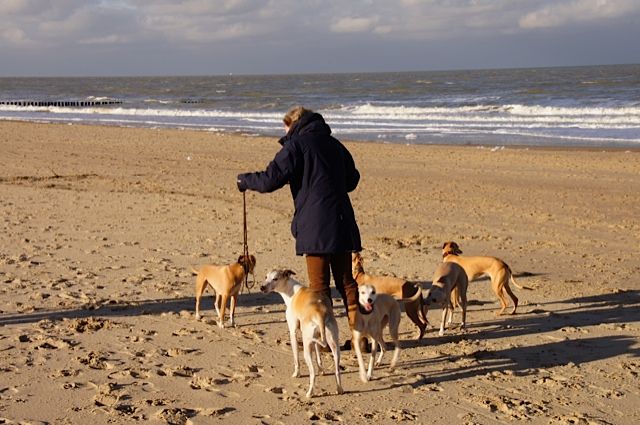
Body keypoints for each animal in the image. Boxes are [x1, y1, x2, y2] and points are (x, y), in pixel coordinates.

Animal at [258, 268, 342, 398]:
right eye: (266, 277)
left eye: (275, 278)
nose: (262, 287)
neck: (292, 291)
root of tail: (320, 313)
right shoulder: (316, 339)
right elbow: (319, 357)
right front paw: (321, 370)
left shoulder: (292, 332)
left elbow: (296, 358)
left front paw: (296, 374)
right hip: (333, 344)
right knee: (337, 370)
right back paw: (339, 389)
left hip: (307, 347)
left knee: (312, 374)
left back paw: (309, 393)